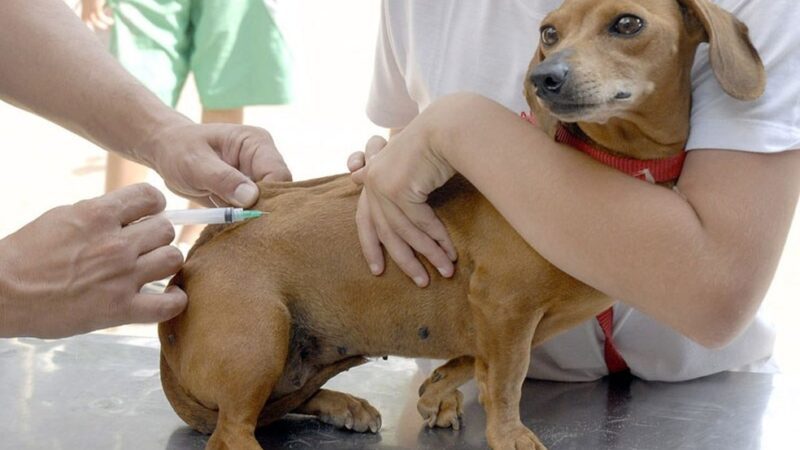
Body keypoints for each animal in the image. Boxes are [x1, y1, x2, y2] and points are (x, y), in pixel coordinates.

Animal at [156, 1, 764, 448]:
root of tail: (197, 253)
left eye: (628, 23)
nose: (544, 77)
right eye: (548, 32)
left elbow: (479, 362)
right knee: (235, 429)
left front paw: (439, 389)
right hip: (261, 340)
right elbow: (507, 380)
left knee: (278, 406)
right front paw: (510, 434)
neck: (602, 165)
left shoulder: (506, 319)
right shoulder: (505, 305)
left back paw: (342, 404)